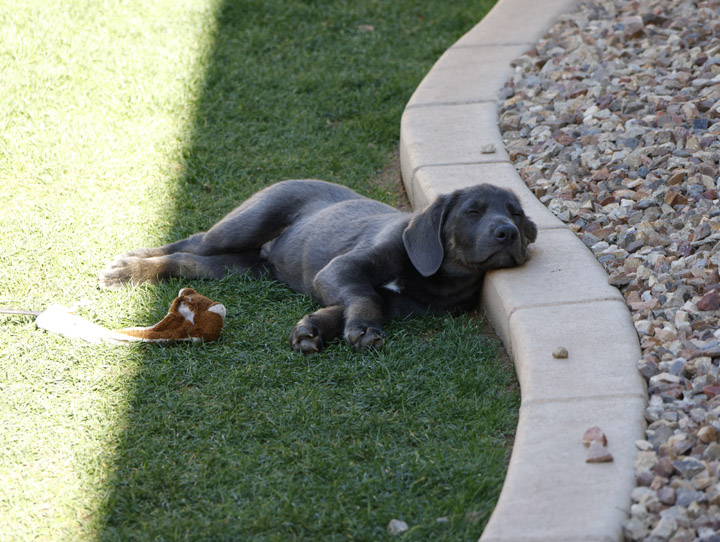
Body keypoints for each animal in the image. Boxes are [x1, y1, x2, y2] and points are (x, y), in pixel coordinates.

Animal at [100, 181, 536, 354]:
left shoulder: (389, 303)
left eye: (516, 212)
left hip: (239, 268)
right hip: (245, 224)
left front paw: (310, 331)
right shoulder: (341, 270)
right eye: (473, 211)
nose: (509, 232)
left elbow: (347, 306)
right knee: (190, 241)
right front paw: (363, 331)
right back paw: (125, 268)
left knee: (189, 261)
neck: (436, 277)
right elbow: (363, 296)